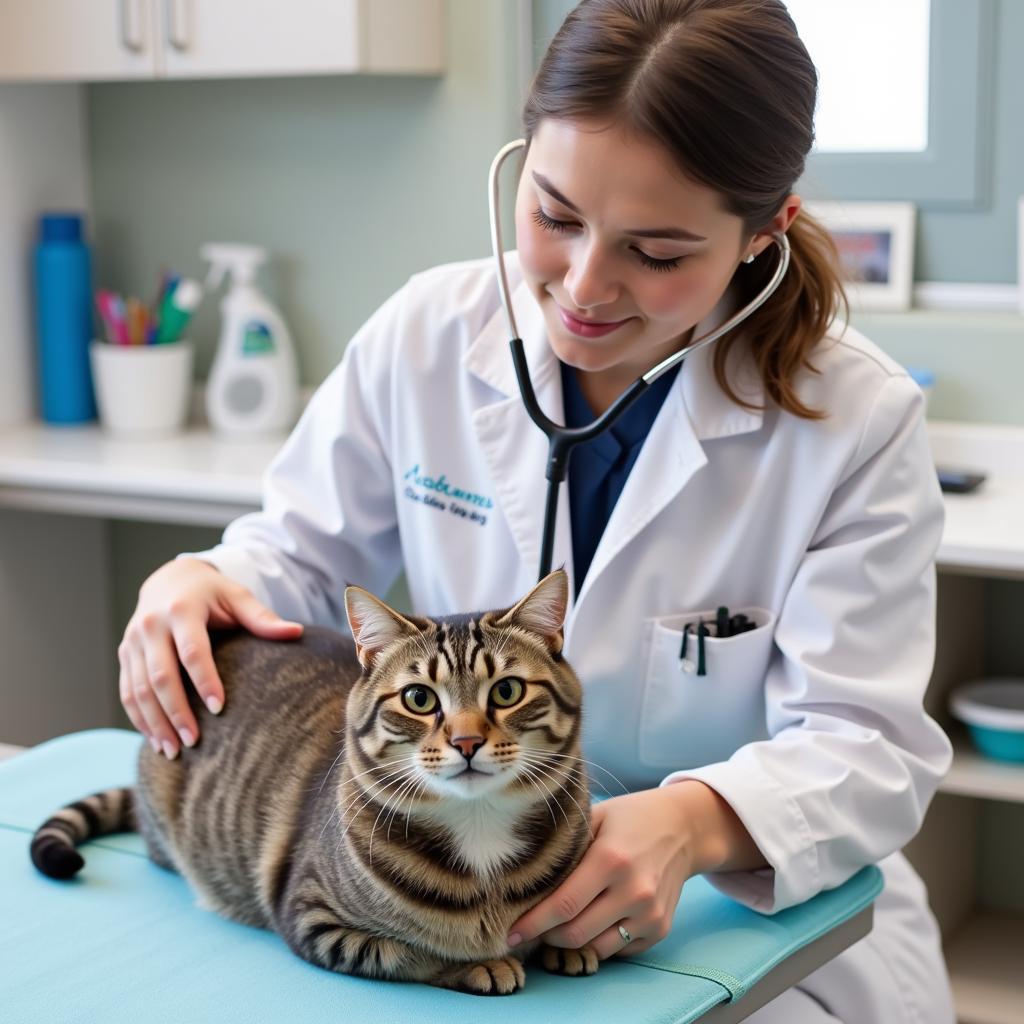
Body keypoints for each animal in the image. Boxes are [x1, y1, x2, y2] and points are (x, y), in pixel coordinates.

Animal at [29, 569, 598, 991]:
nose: (466, 741)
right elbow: (411, 952)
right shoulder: (312, 917)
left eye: (506, 691)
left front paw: (576, 942)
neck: (479, 830)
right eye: (419, 698)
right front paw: (479, 962)